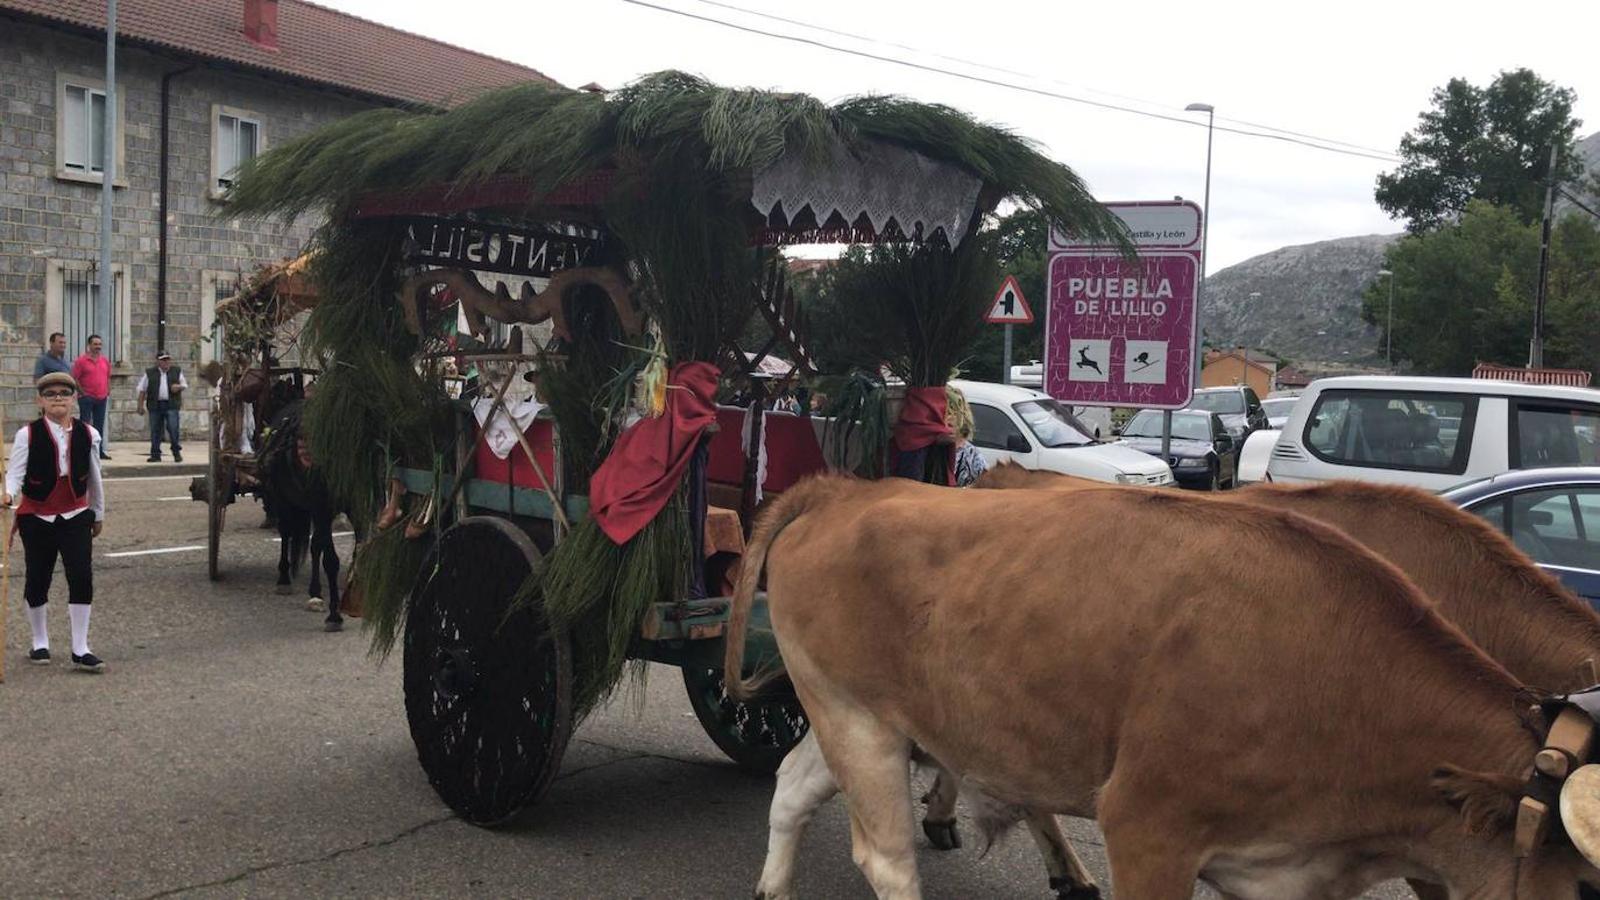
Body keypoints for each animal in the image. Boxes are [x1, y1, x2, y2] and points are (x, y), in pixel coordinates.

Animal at [257, 398, 345, 630]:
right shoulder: (321, 505)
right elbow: (330, 560)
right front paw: (335, 615)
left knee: (314, 544)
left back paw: (315, 592)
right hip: (283, 499)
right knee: (286, 533)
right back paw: (284, 579)